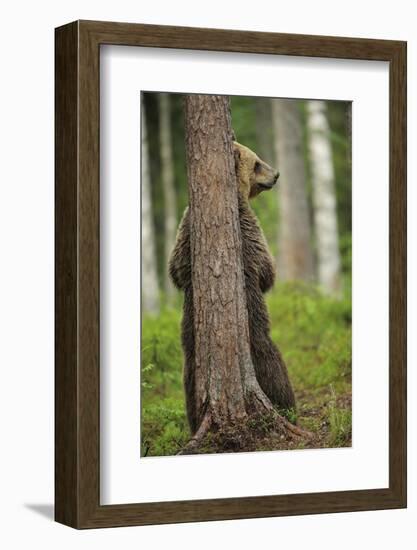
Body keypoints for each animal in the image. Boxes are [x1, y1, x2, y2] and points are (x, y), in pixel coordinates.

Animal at [169, 141, 296, 436]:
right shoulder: (247, 227)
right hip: (256, 336)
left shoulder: (184, 230)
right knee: (273, 365)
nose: (276, 175)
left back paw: (194, 421)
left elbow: (175, 269)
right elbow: (265, 269)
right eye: (258, 163)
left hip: (190, 353)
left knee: (189, 382)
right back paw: (288, 407)